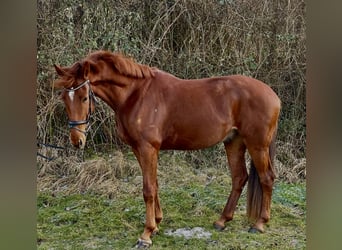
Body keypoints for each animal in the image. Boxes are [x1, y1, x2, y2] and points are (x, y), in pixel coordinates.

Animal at [54, 50, 280, 248]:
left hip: (257, 145)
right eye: (64, 98)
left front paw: (146, 235)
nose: (77, 140)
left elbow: (148, 189)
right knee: (239, 178)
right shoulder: (139, 149)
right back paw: (222, 220)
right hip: (234, 142)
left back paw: (260, 224)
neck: (135, 95)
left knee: (266, 178)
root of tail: (273, 95)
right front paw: (156, 224)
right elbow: (154, 185)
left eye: (84, 97)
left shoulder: (148, 148)